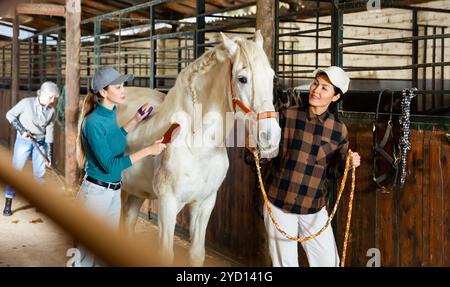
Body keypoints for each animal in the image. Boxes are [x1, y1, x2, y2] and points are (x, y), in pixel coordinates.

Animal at [116, 30, 280, 266]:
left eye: (272, 76)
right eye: (242, 79)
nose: (271, 136)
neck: (197, 147)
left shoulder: (205, 203)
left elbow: (197, 253)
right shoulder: (167, 205)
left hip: (135, 193)